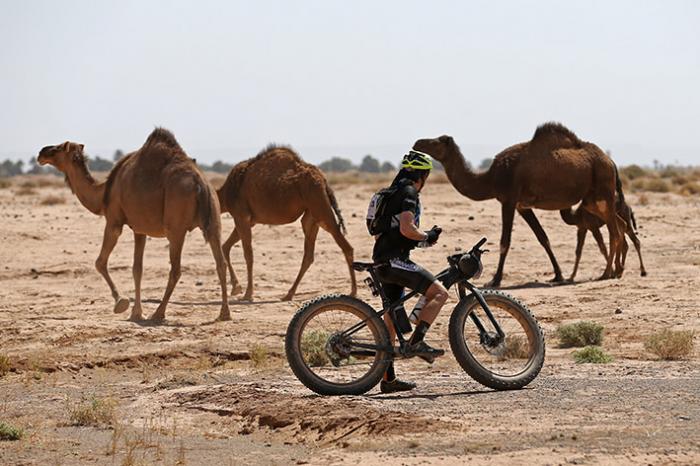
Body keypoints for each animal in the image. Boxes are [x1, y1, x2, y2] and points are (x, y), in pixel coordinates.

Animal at [37, 128, 230, 324]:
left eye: (59, 148)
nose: (41, 152)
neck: (103, 193)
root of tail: (200, 183)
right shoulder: (140, 228)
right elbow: (137, 269)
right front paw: (136, 312)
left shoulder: (114, 221)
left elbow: (100, 262)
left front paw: (121, 303)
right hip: (214, 221)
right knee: (220, 263)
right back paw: (224, 313)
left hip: (176, 227)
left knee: (176, 270)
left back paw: (159, 313)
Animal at [216, 144, 356, 300]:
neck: (226, 194)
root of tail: (324, 180)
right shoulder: (247, 220)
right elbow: (225, 247)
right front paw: (236, 288)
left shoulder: (241, 216)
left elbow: (248, 255)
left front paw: (248, 294)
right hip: (311, 214)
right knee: (309, 254)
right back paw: (289, 294)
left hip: (319, 205)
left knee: (346, 246)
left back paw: (353, 291)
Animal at [412, 122, 628, 286]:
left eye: (437, 141)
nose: (417, 142)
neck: (490, 178)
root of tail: (611, 162)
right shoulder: (522, 206)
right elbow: (543, 238)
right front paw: (558, 275)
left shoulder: (508, 200)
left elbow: (504, 242)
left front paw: (495, 280)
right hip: (593, 199)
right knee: (617, 226)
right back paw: (617, 270)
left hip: (603, 190)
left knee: (614, 230)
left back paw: (607, 273)